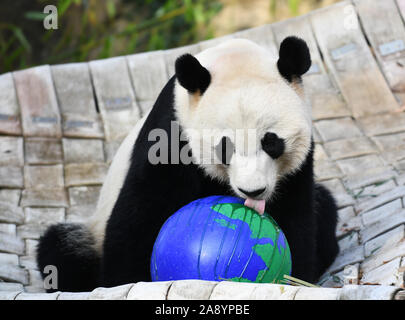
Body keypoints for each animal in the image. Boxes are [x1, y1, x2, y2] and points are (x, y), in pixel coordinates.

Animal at [37, 36, 338, 292]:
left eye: (271, 142)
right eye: (225, 147)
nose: (252, 191)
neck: (233, 58)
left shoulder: (298, 167)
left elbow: (297, 219)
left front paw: (296, 278)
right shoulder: (170, 137)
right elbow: (139, 214)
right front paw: (126, 282)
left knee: (325, 207)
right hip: (91, 232)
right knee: (61, 251)